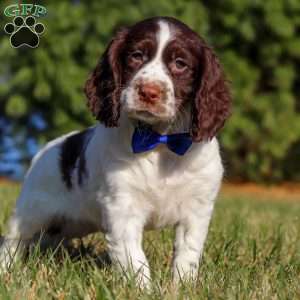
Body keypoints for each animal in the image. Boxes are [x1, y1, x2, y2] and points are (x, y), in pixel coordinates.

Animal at [0, 15, 232, 286]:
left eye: (180, 63)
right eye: (136, 55)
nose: (149, 92)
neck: (159, 141)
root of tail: (47, 149)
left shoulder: (196, 209)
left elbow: (188, 254)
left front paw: (181, 287)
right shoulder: (122, 207)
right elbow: (135, 259)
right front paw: (144, 290)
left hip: (70, 222)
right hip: (32, 210)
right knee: (14, 240)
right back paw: (6, 271)